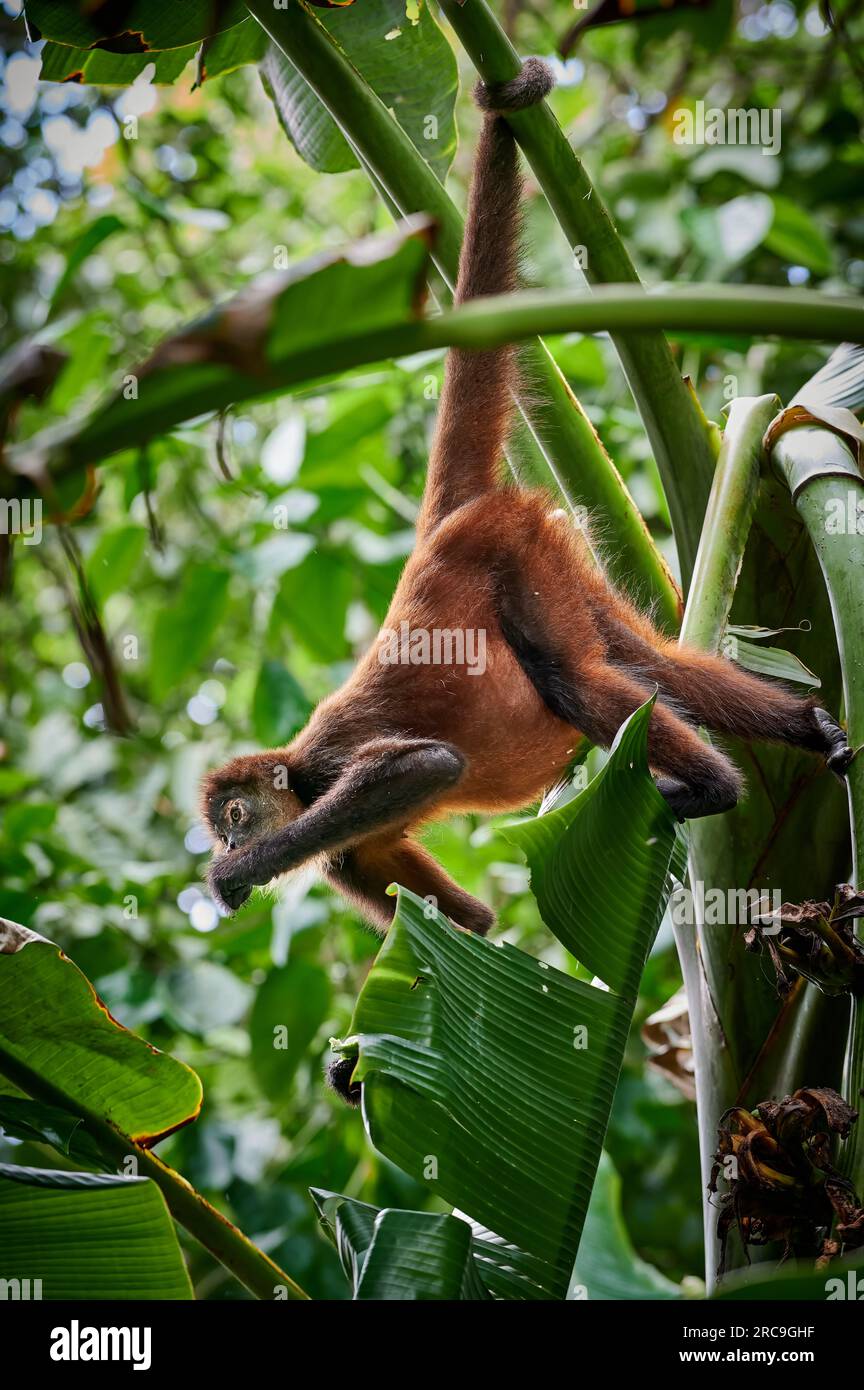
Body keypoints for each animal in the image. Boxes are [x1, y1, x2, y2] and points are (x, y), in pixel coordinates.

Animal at [201, 65, 855, 961]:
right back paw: (811, 725)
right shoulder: (345, 850)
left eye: (235, 817)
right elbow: (468, 926)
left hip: (511, 550)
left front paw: (237, 876)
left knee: (572, 677)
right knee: (645, 662)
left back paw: (713, 787)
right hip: (553, 559)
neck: (295, 780)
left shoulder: (326, 768)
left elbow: (426, 766)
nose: (232, 843)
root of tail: (443, 534)